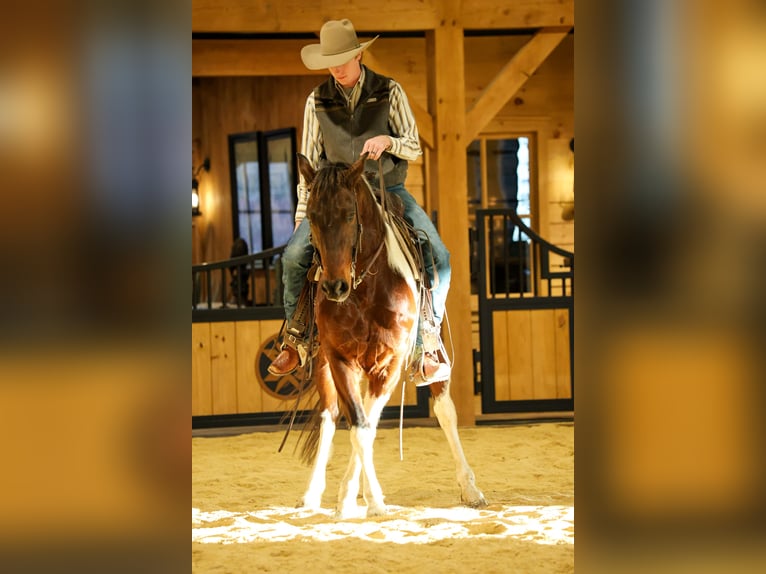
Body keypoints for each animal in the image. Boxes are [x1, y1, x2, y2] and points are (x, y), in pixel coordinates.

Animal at [295, 153, 486, 518]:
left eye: (349, 213)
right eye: (311, 216)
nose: (334, 287)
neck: (364, 288)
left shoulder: (390, 363)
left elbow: (367, 427)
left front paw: (369, 499)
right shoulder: (340, 359)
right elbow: (358, 425)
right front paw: (357, 497)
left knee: (445, 411)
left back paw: (471, 488)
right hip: (326, 364)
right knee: (331, 416)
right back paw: (312, 494)